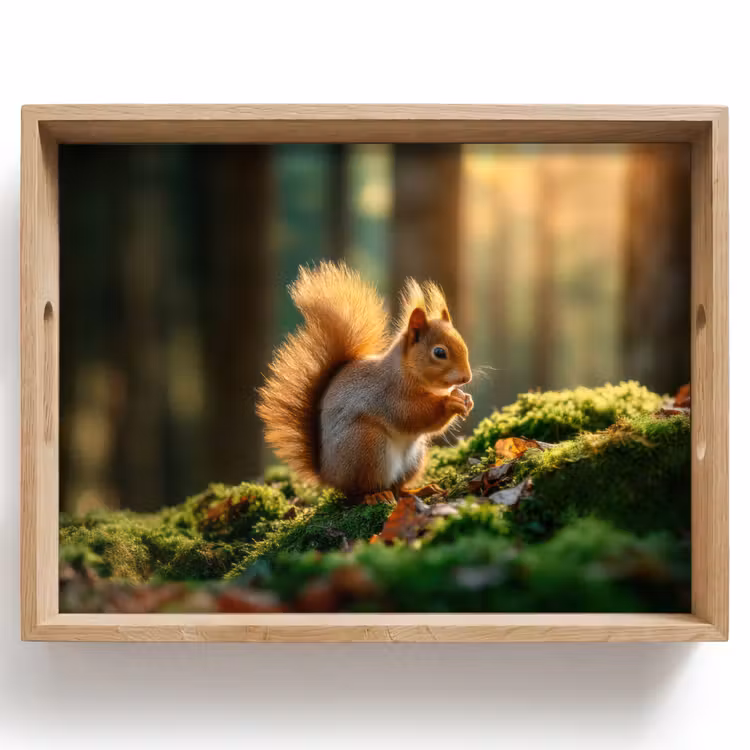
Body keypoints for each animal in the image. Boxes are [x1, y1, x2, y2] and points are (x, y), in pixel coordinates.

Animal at [257, 261, 473, 505]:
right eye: (439, 352)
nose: (466, 378)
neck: (406, 372)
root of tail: (328, 475)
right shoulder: (389, 395)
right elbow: (414, 415)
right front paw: (450, 403)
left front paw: (465, 399)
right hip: (367, 447)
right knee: (359, 492)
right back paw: (376, 495)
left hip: (413, 458)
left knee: (398, 487)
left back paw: (419, 490)